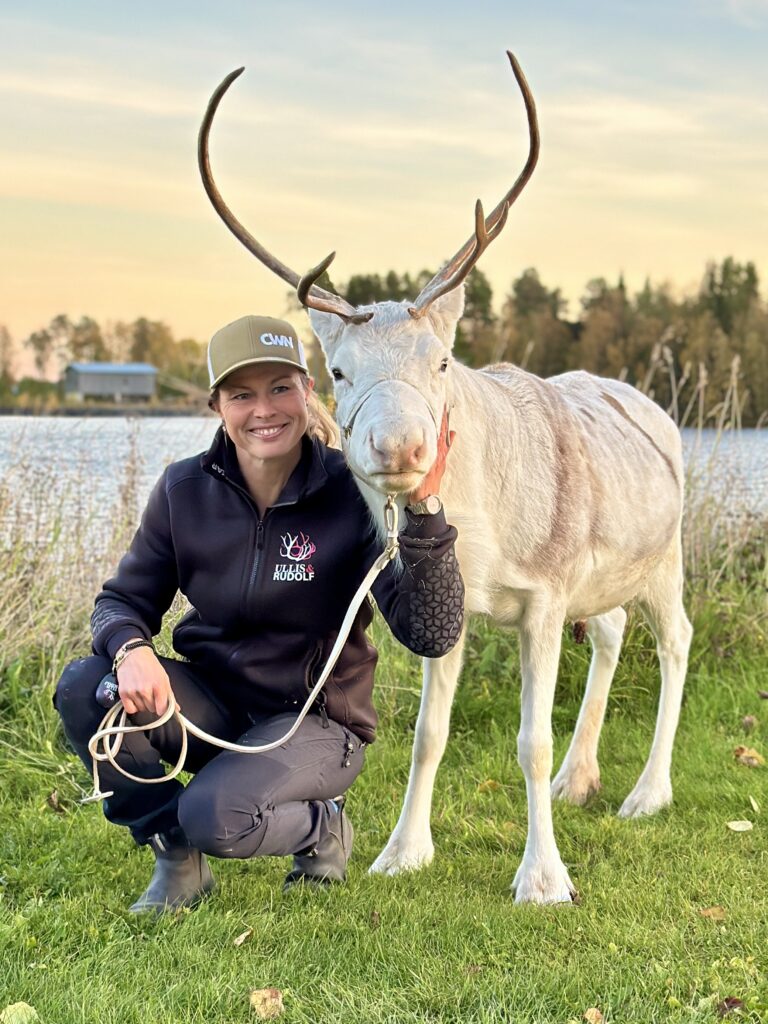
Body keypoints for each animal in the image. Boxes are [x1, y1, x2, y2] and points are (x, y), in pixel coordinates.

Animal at [197, 52, 692, 904]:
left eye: (442, 361)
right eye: (336, 368)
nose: (399, 445)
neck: (487, 541)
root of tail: (648, 406)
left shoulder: (547, 590)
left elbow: (529, 738)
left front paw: (543, 878)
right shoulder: (466, 607)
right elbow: (429, 731)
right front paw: (401, 851)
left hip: (664, 554)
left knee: (675, 640)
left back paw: (647, 792)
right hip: (606, 576)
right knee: (611, 630)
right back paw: (579, 780)